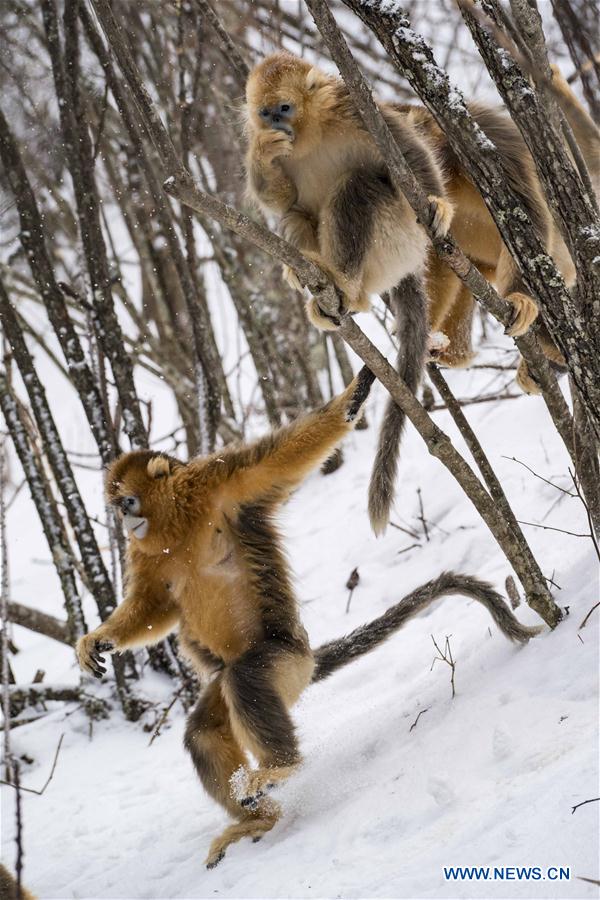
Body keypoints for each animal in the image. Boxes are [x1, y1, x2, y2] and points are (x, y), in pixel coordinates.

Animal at [75, 370, 540, 868]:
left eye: (126, 502)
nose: (124, 523)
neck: (176, 527)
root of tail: (308, 658)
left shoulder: (217, 481)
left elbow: (279, 459)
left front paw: (356, 393)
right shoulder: (146, 554)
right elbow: (153, 609)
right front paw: (99, 639)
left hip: (284, 663)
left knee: (245, 678)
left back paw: (281, 769)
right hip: (265, 676)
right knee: (204, 730)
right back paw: (261, 818)